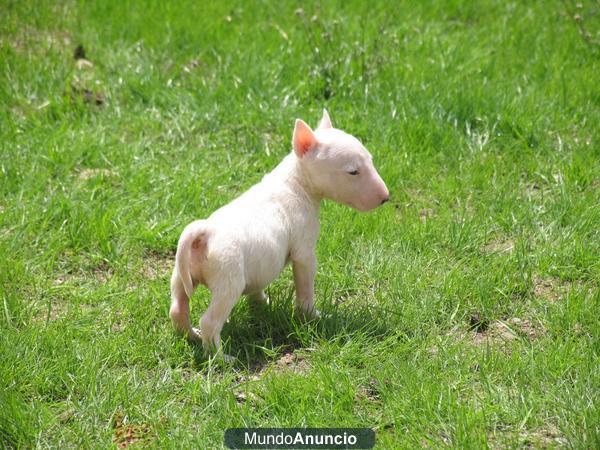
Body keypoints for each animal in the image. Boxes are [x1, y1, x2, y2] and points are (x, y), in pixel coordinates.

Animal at [171, 110, 392, 358]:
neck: (295, 181)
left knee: (177, 309)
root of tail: (204, 232)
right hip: (228, 279)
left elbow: (257, 286)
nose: (385, 197)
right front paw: (313, 317)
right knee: (210, 321)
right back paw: (221, 357)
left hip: (180, 276)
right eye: (353, 171)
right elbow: (305, 287)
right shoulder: (304, 252)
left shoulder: (259, 264)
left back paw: (192, 336)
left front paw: (262, 303)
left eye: (371, 160)